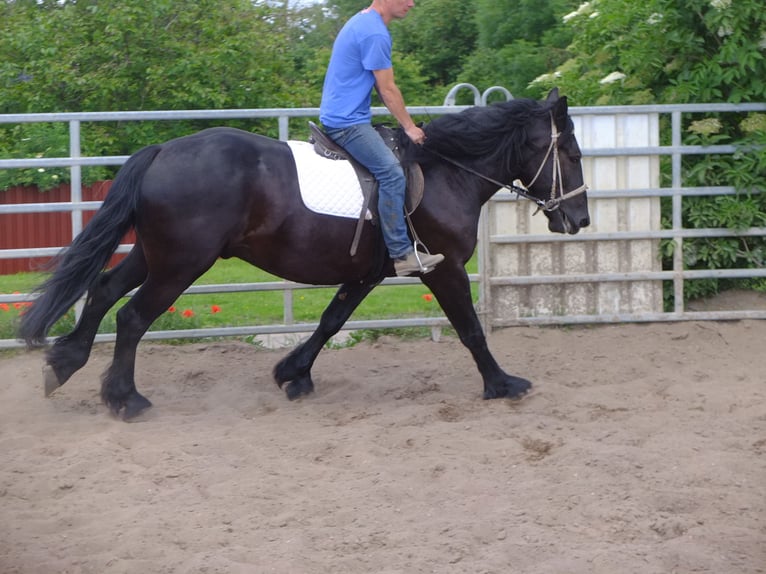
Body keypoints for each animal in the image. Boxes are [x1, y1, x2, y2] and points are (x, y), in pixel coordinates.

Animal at [19, 91, 592, 424]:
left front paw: (293, 374)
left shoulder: (367, 273)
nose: (579, 219)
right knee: (133, 316)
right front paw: (503, 385)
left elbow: (331, 320)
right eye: (571, 153)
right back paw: (125, 399)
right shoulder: (444, 268)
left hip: (155, 254)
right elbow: (471, 330)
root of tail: (164, 150)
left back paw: (65, 365)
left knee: (103, 291)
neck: (446, 172)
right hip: (181, 264)